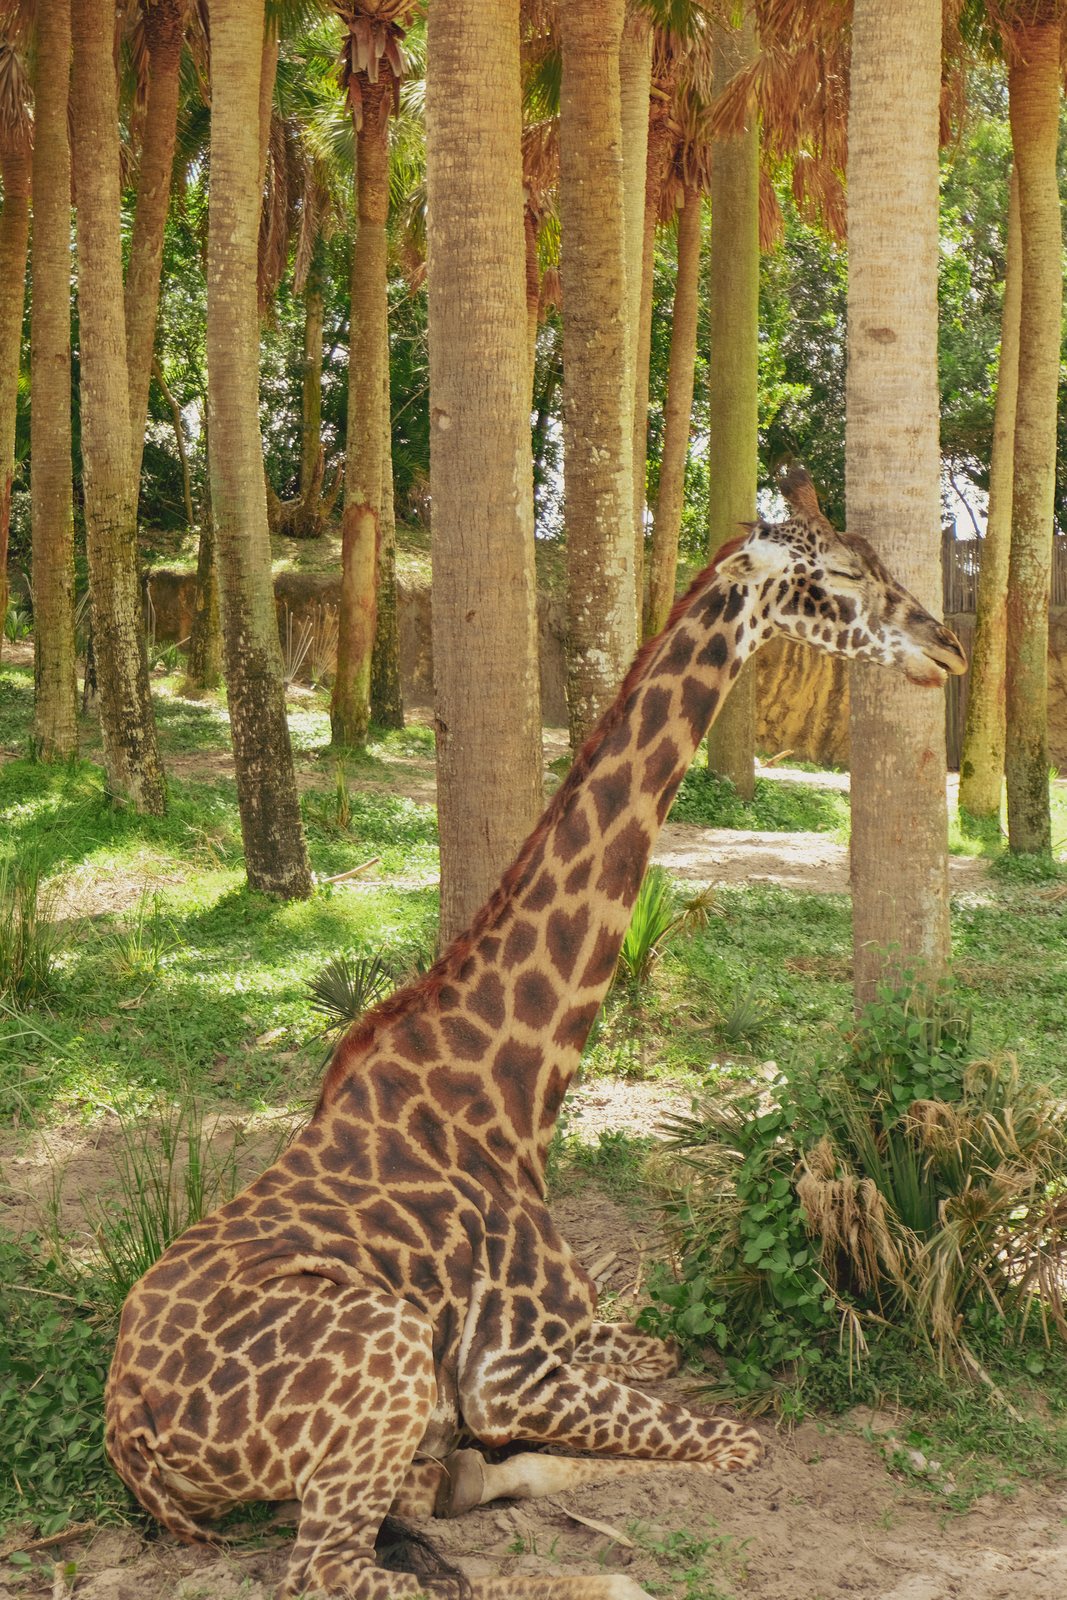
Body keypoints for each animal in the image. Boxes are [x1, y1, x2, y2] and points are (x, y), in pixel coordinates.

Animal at [105, 467, 966, 1600]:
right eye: (840, 577)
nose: (947, 650)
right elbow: (737, 1441)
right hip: (385, 1352)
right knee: (340, 1569)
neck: (514, 1089)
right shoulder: (508, 1371)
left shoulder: (569, 1340)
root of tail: (128, 1435)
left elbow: (655, 1354)